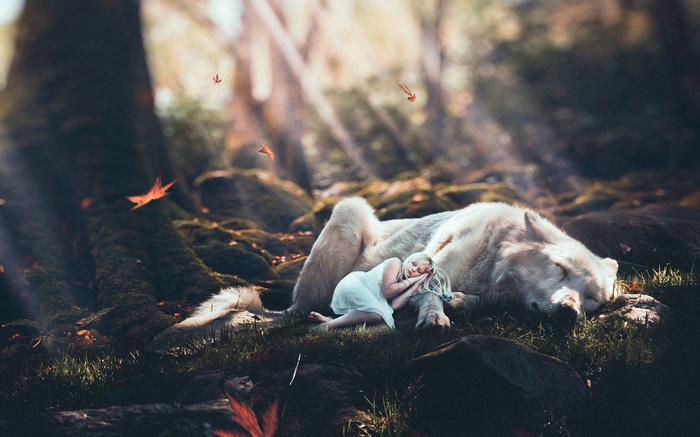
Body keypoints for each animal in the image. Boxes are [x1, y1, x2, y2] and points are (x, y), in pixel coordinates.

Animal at [291, 197, 619, 330]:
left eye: (592, 298)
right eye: (560, 269)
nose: (568, 312)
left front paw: (463, 302)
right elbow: (429, 294)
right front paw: (434, 318)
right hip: (350, 210)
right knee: (302, 306)